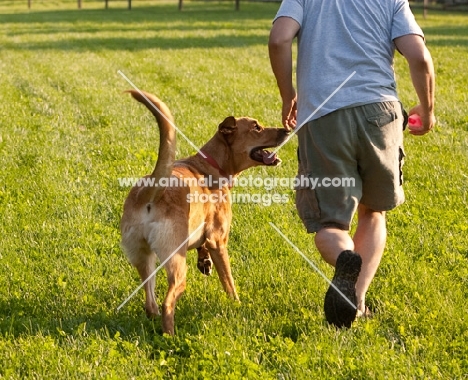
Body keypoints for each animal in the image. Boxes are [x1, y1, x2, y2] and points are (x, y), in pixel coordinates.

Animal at [119, 90, 288, 334]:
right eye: (256, 127)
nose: (287, 130)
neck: (212, 164)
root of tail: (149, 192)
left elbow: (203, 247)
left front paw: (204, 261)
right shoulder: (219, 241)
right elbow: (229, 282)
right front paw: (236, 304)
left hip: (144, 260)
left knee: (150, 302)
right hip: (175, 261)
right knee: (168, 302)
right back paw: (170, 336)